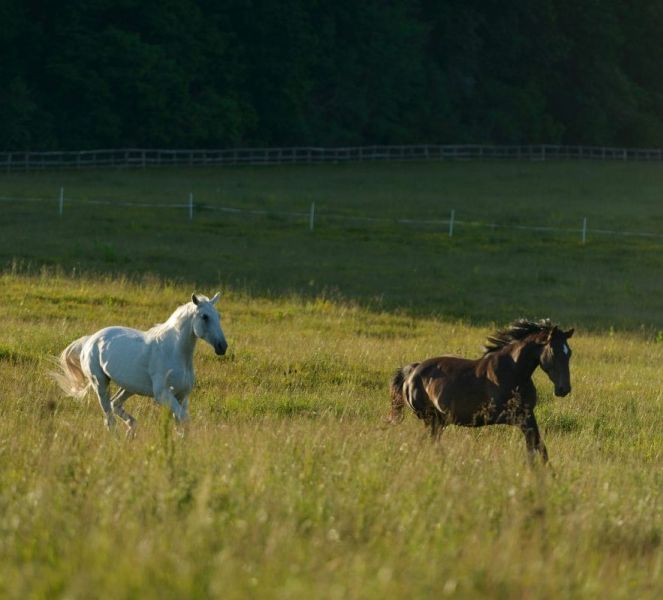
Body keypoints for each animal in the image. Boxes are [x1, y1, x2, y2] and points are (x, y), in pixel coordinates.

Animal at [53, 292, 228, 436]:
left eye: (219, 316)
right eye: (205, 316)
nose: (222, 347)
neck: (174, 352)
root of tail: (90, 339)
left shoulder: (182, 396)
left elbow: (181, 424)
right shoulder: (163, 394)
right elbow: (184, 420)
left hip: (129, 387)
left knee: (115, 404)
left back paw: (131, 430)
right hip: (100, 383)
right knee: (109, 417)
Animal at [390, 318, 576, 464]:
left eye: (569, 353)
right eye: (554, 351)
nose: (564, 389)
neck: (512, 372)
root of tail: (412, 371)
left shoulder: (529, 414)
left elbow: (538, 447)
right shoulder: (516, 417)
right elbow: (537, 446)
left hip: (439, 421)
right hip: (431, 418)